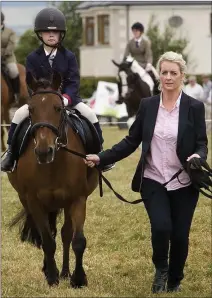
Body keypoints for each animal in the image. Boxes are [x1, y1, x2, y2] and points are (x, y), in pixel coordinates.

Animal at [8, 71, 99, 288]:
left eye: (58, 108)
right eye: (31, 109)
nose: (43, 151)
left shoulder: (78, 199)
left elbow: (78, 240)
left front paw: (78, 278)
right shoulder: (34, 201)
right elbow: (48, 241)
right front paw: (51, 276)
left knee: (65, 234)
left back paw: (65, 272)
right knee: (47, 235)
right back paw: (50, 269)